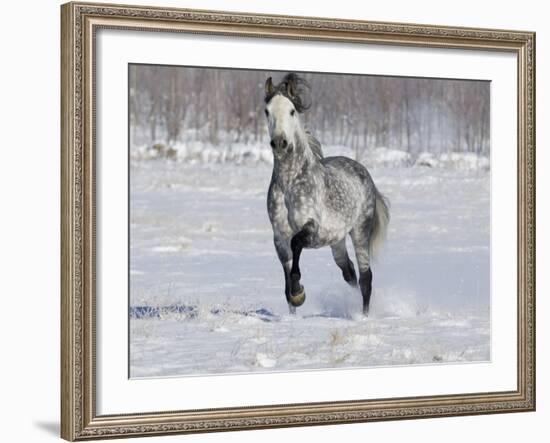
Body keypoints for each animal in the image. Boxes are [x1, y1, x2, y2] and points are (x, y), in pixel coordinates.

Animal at [266, 73, 390, 316]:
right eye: (267, 111)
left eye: (292, 111)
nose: (280, 143)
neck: (289, 184)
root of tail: (364, 173)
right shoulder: (279, 237)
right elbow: (286, 278)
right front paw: (293, 305)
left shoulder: (311, 229)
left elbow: (296, 245)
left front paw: (299, 292)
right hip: (337, 242)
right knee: (349, 273)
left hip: (359, 232)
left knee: (366, 278)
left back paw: (363, 316)